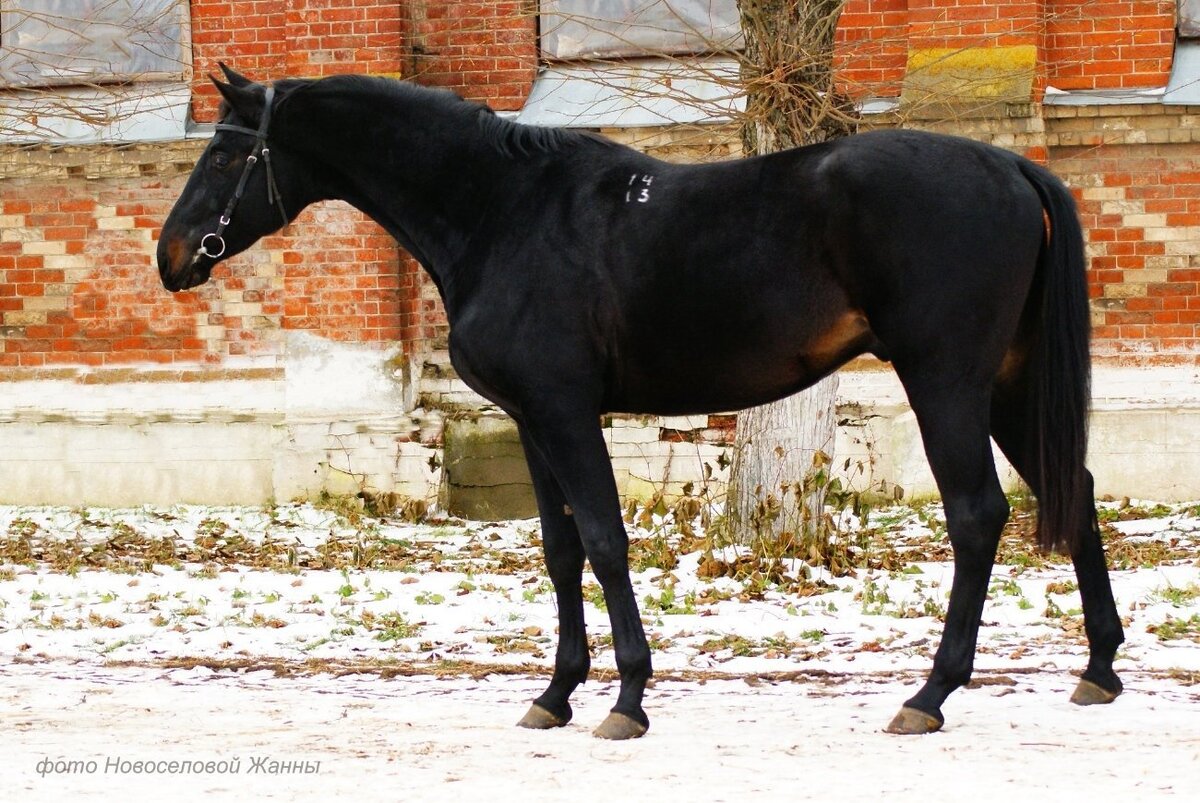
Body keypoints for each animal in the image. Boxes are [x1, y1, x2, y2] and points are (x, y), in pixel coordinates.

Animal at [157, 65, 1123, 734]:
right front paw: (555, 693)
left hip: (945, 380)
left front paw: (626, 696)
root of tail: (1009, 167)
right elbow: (559, 552)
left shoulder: (563, 411)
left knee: (978, 514)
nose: (171, 256)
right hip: (1006, 385)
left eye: (227, 151)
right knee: (1076, 491)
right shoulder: (529, 421)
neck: (503, 212)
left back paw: (930, 692)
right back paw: (1100, 668)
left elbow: (605, 542)